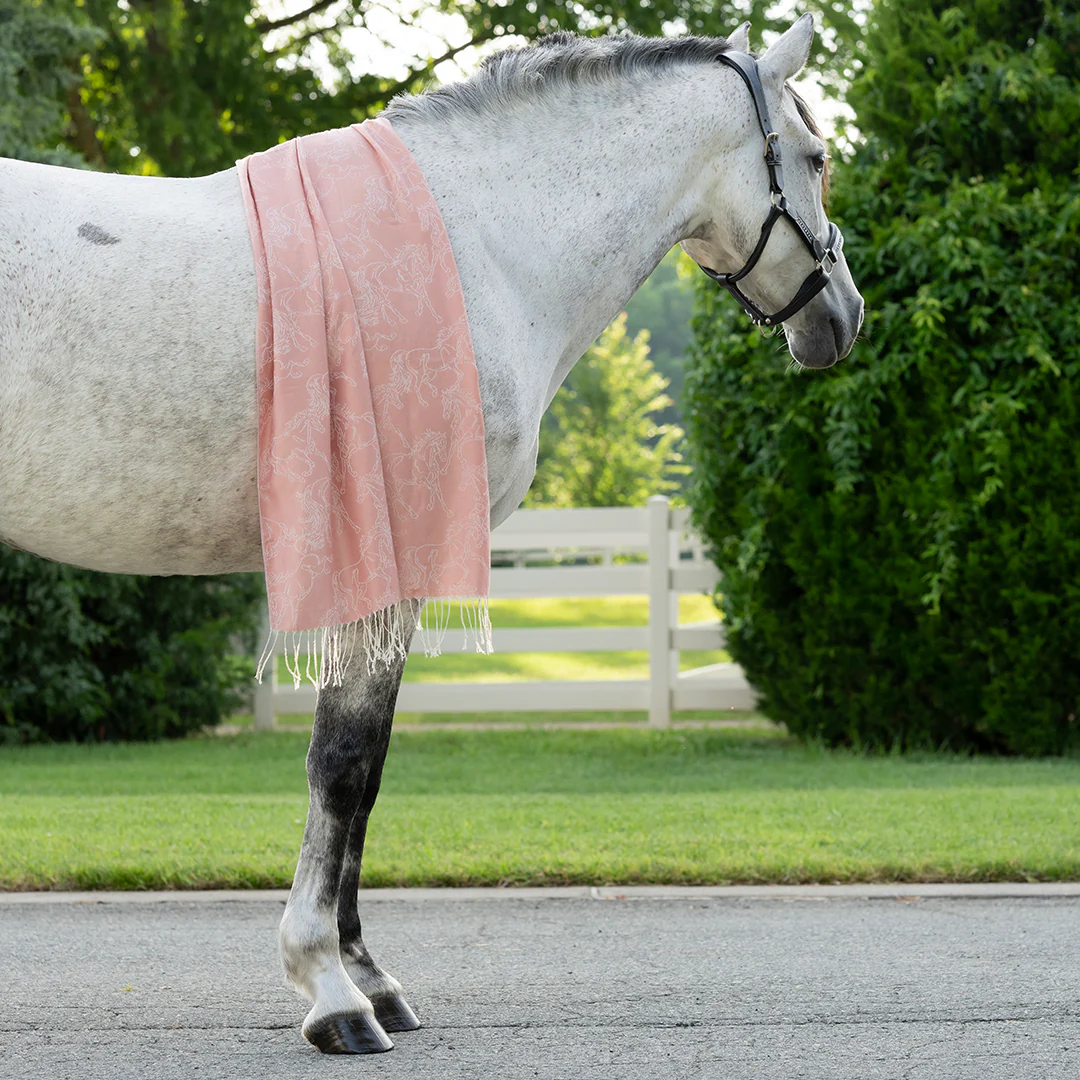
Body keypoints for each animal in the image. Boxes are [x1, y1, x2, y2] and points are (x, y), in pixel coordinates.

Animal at [0, 17, 863, 1055]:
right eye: (816, 158)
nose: (842, 318)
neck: (476, 243)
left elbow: (366, 776)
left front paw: (372, 978)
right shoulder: (383, 561)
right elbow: (340, 766)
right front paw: (331, 991)